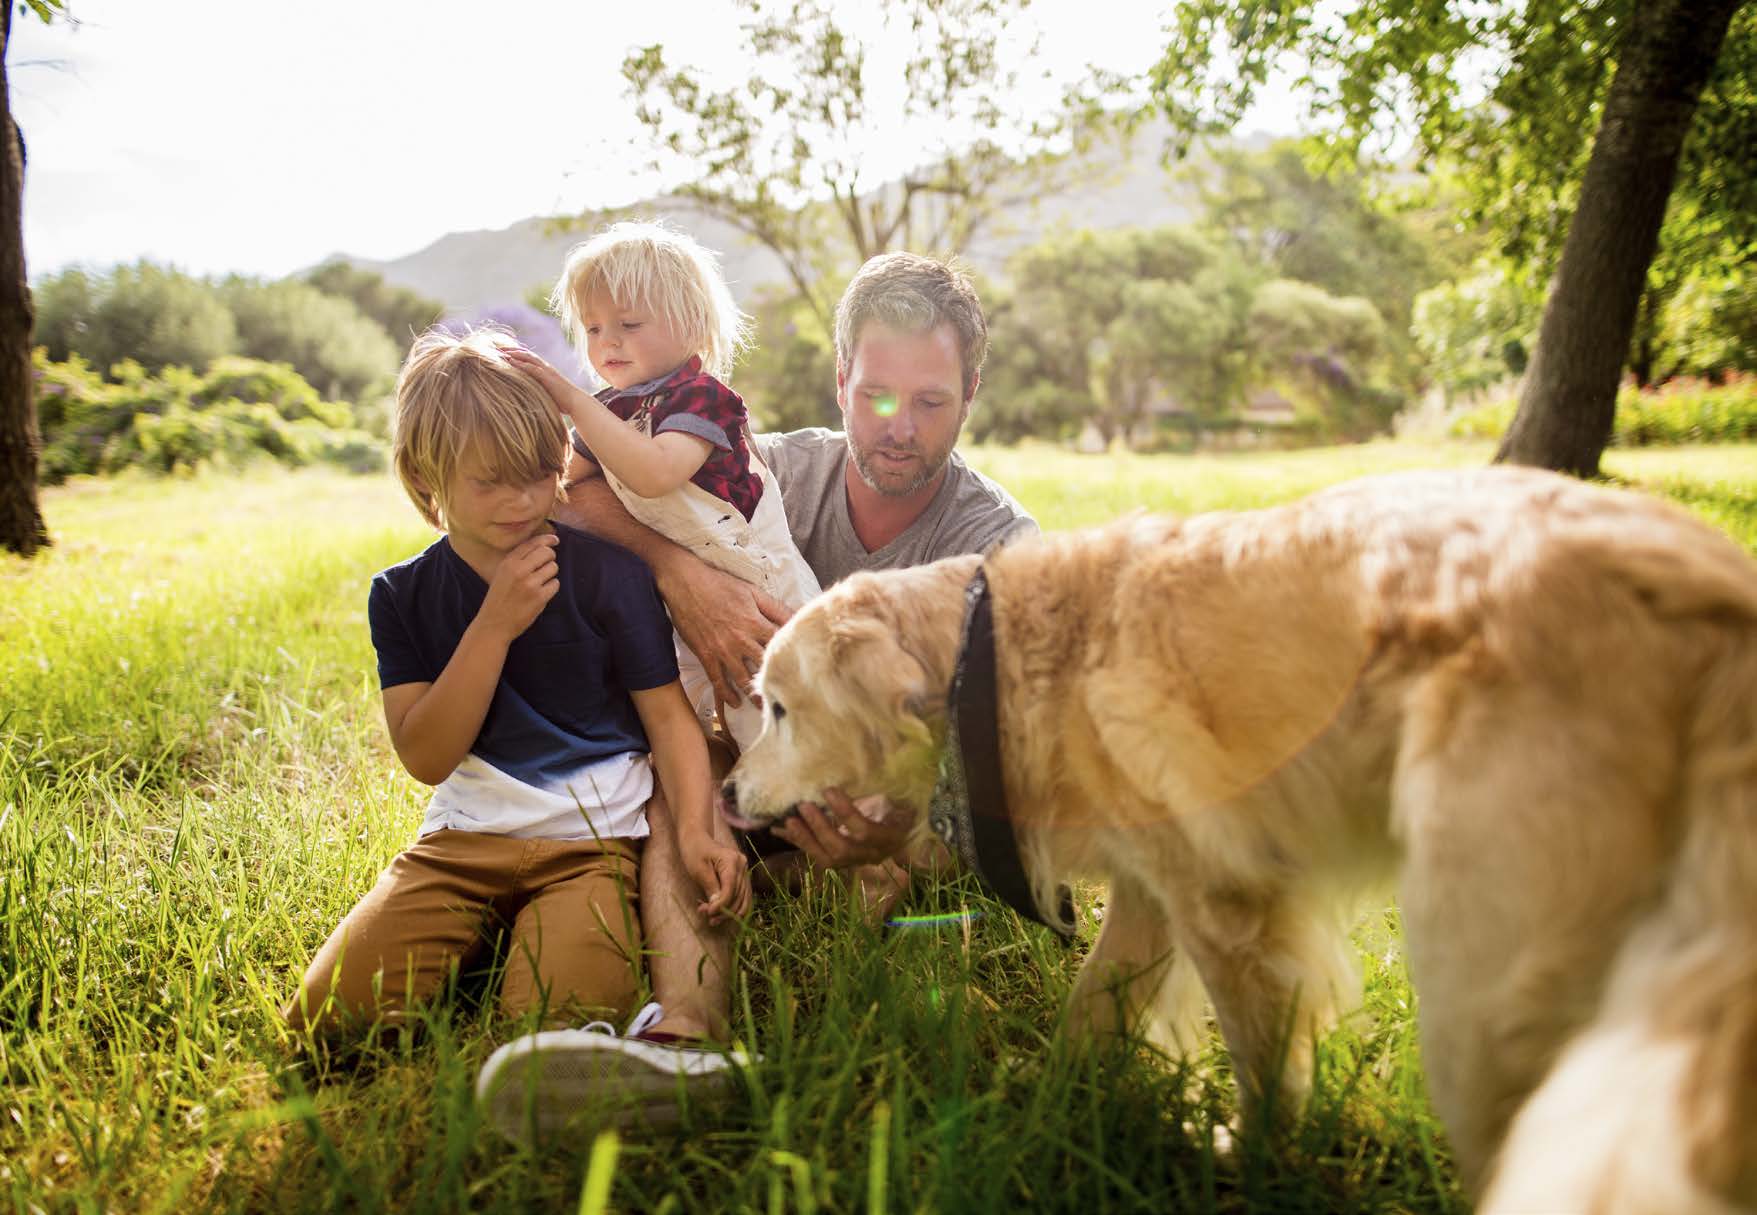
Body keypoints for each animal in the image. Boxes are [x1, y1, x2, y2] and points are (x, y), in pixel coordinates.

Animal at [720, 467, 1749, 1215]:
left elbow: (1260, 1058)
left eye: (778, 708)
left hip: (1478, 973)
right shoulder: (1149, 892)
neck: (992, 656)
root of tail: (1705, 594)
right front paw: (1052, 1108)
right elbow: (1093, 1005)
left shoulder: (1225, 903)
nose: (726, 795)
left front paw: (1251, 1161)